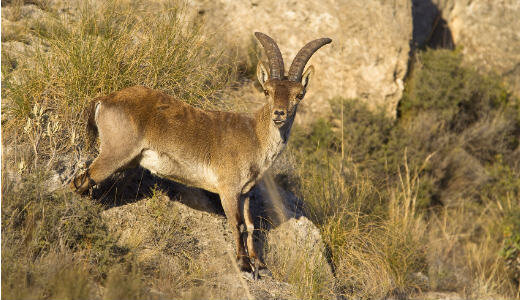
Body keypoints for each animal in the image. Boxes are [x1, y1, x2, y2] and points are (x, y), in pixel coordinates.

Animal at [71, 32, 332, 276]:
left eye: (299, 94)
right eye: (267, 91)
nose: (279, 114)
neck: (255, 137)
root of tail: (105, 99)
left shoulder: (246, 192)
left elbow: (250, 226)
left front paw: (259, 263)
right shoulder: (228, 188)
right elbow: (236, 224)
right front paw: (243, 264)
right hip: (115, 152)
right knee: (81, 180)